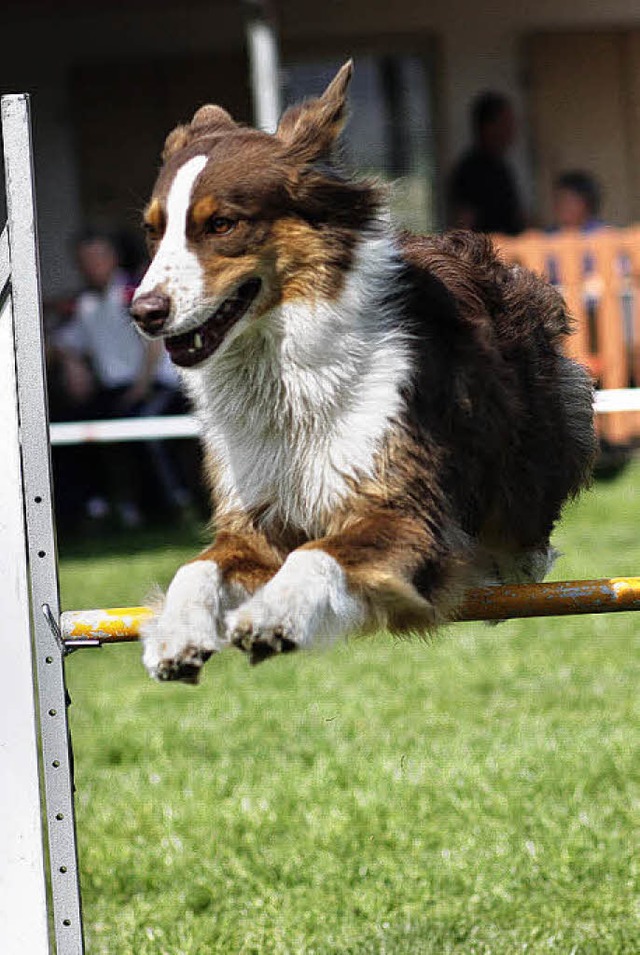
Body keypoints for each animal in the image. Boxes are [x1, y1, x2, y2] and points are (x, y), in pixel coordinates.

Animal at [130, 61, 596, 680]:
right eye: (154, 230)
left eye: (223, 224)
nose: (144, 312)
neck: (283, 374)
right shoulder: (258, 516)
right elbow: (196, 567)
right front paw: (177, 634)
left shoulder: (402, 508)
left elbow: (316, 553)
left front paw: (274, 616)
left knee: (524, 533)